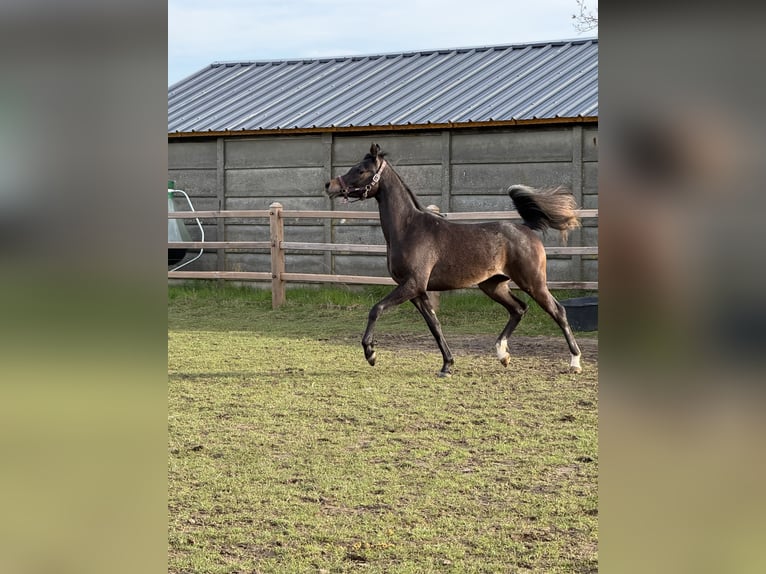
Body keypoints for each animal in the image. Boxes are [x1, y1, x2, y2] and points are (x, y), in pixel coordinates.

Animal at [325, 143, 583, 377]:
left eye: (361, 170)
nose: (330, 185)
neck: (409, 229)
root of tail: (526, 228)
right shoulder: (417, 291)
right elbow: (435, 325)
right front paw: (447, 365)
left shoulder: (412, 285)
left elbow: (376, 309)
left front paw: (371, 353)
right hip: (493, 285)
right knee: (518, 309)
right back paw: (503, 355)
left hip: (533, 283)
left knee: (558, 311)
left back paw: (574, 363)